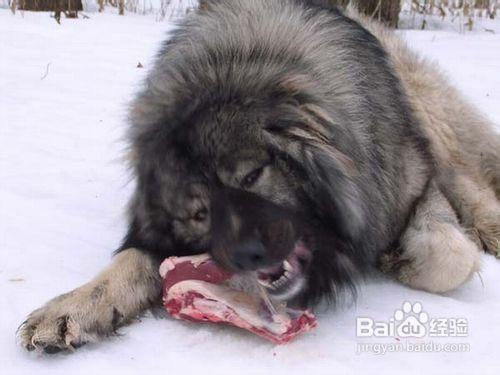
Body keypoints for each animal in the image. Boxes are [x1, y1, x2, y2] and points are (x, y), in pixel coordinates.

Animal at [17, 0, 498, 354]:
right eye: (200, 213)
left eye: (251, 177)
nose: (250, 252)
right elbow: (129, 262)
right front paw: (74, 306)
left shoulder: (413, 184)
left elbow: (449, 254)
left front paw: (400, 258)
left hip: (434, 118)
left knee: (469, 179)